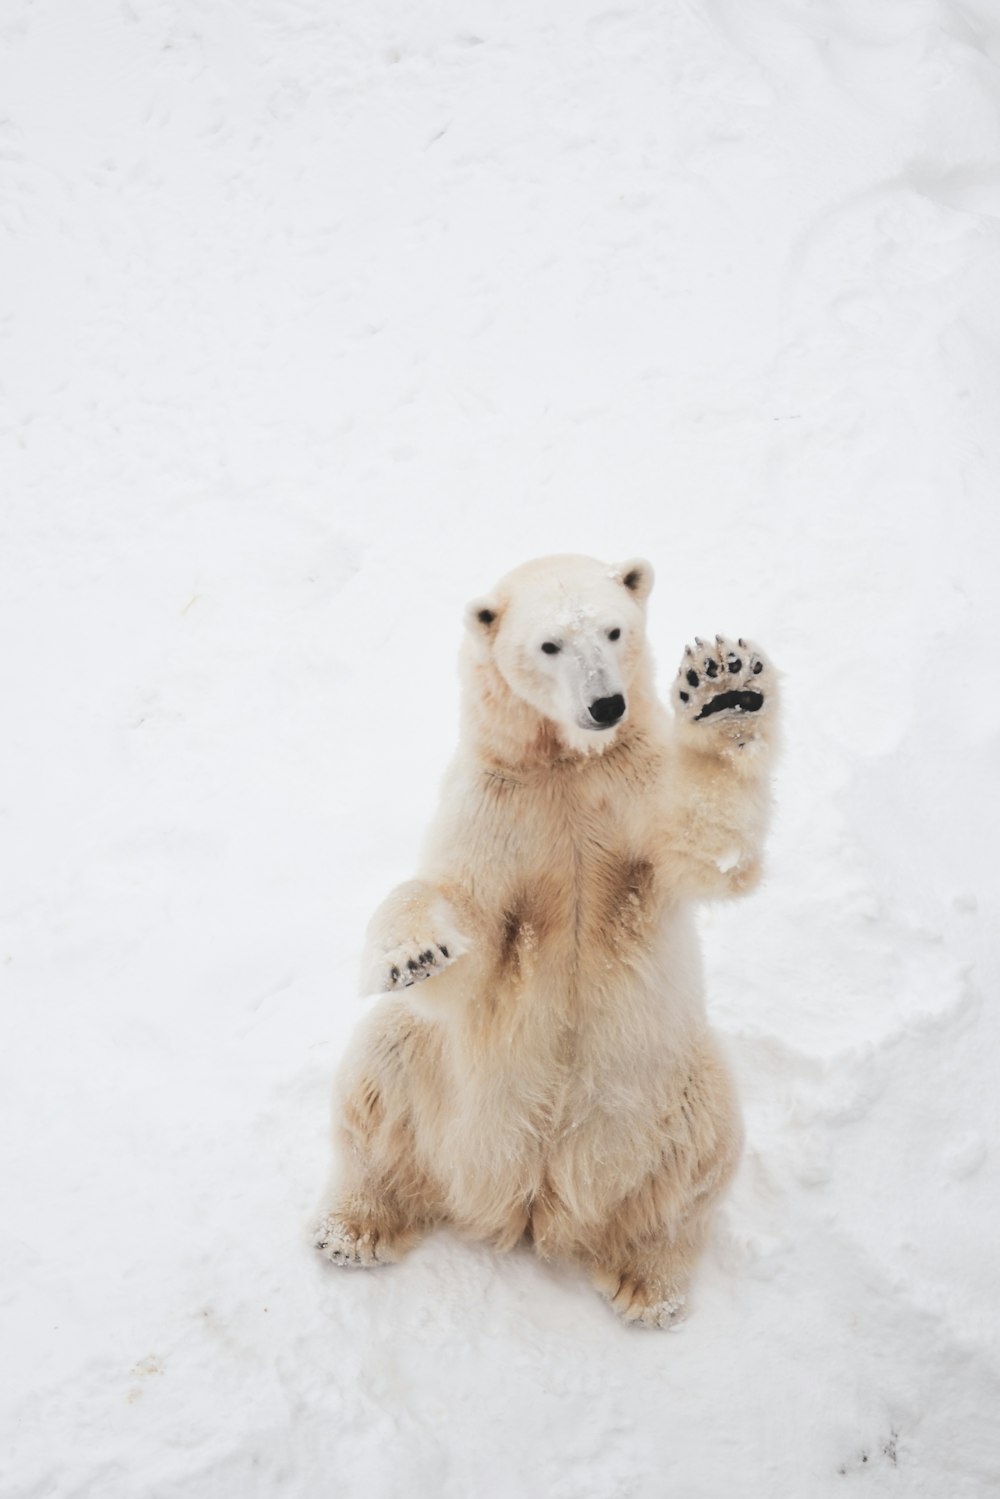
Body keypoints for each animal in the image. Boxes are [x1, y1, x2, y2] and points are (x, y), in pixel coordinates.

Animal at [314, 553, 779, 1327]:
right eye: (549, 645)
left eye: (614, 629)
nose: (607, 705)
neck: (568, 765)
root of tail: (537, 1200)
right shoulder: (496, 802)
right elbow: (461, 922)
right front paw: (413, 953)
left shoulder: (633, 786)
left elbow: (706, 846)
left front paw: (725, 691)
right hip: (445, 1089)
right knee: (381, 1069)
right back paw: (353, 1227)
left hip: (669, 1080)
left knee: (698, 1154)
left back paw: (647, 1283)